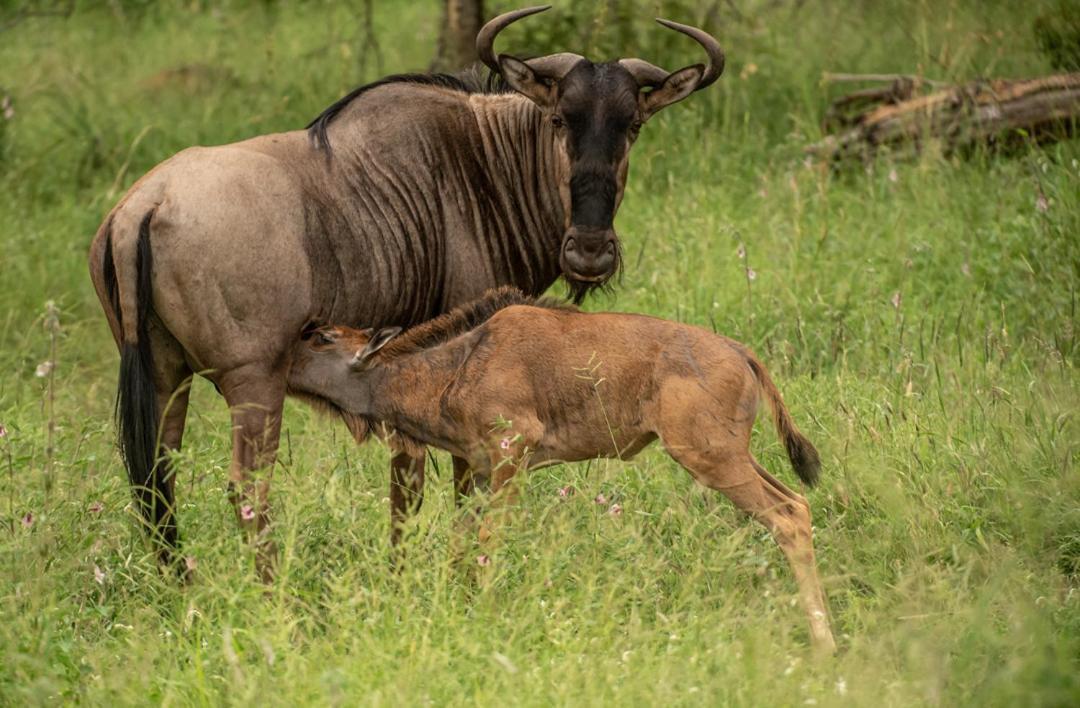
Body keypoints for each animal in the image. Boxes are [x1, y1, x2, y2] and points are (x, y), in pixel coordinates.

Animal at [287, 287, 833, 651]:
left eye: (324, 337)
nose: (278, 356)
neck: (454, 369)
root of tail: (744, 354)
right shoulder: (479, 468)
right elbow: (460, 542)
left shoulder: (512, 452)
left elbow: (488, 540)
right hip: (736, 456)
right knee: (798, 503)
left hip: (708, 456)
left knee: (786, 516)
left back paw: (824, 643)